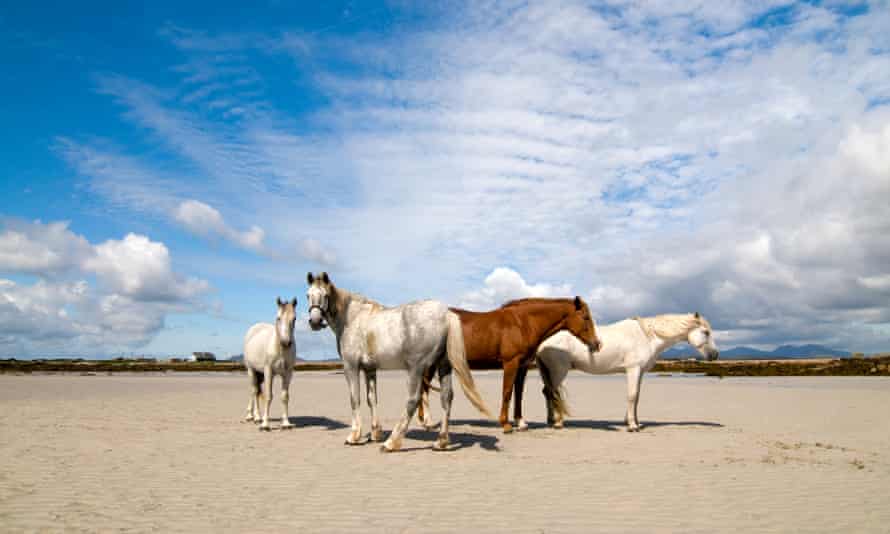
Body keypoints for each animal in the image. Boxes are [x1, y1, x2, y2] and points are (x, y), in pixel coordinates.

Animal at [243, 300, 298, 434]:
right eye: (278, 318)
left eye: (294, 318)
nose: (286, 342)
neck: (279, 348)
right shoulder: (269, 371)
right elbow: (268, 396)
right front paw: (265, 425)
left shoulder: (288, 373)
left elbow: (285, 397)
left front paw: (286, 424)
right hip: (251, 371)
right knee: (254, 391)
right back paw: (256, 417)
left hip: (260, 374)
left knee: (256, 391)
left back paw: (253, 416)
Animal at [304, 274, 486, 454]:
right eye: (308, 295)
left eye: (325, 295)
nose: (315, 321)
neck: (353, 318)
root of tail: (446, 315)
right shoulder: (370, 370)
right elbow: (372, 399)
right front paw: (375, 433)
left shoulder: (351, 366)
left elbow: (354, 399)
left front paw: (354, 437)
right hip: (443, 367)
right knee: (446, 398)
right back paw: (440, 442)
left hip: (416, 368)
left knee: (413, 400)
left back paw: (391, 442)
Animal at [418, 298, 600, 436]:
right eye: (585, 317)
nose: (596, 344)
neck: (523, 323)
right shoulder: (510, 363)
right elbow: (507, 392)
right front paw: (505, 425)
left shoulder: (522, 366)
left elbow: (518, 393)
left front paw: (520, 422)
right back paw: (427, 422)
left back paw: (425, 421)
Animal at [532, 314, 720, 432]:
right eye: (706, 332)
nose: (715, 355)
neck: (647, 336)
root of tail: (544, 342)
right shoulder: (633, 369)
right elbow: (632, 395)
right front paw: (632, 426)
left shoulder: (640, 372)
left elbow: (636, 397)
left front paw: (635, 422)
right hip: (559, 371)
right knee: (553, 393)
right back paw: (558, 422)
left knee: (547, 392)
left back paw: (551, 420)